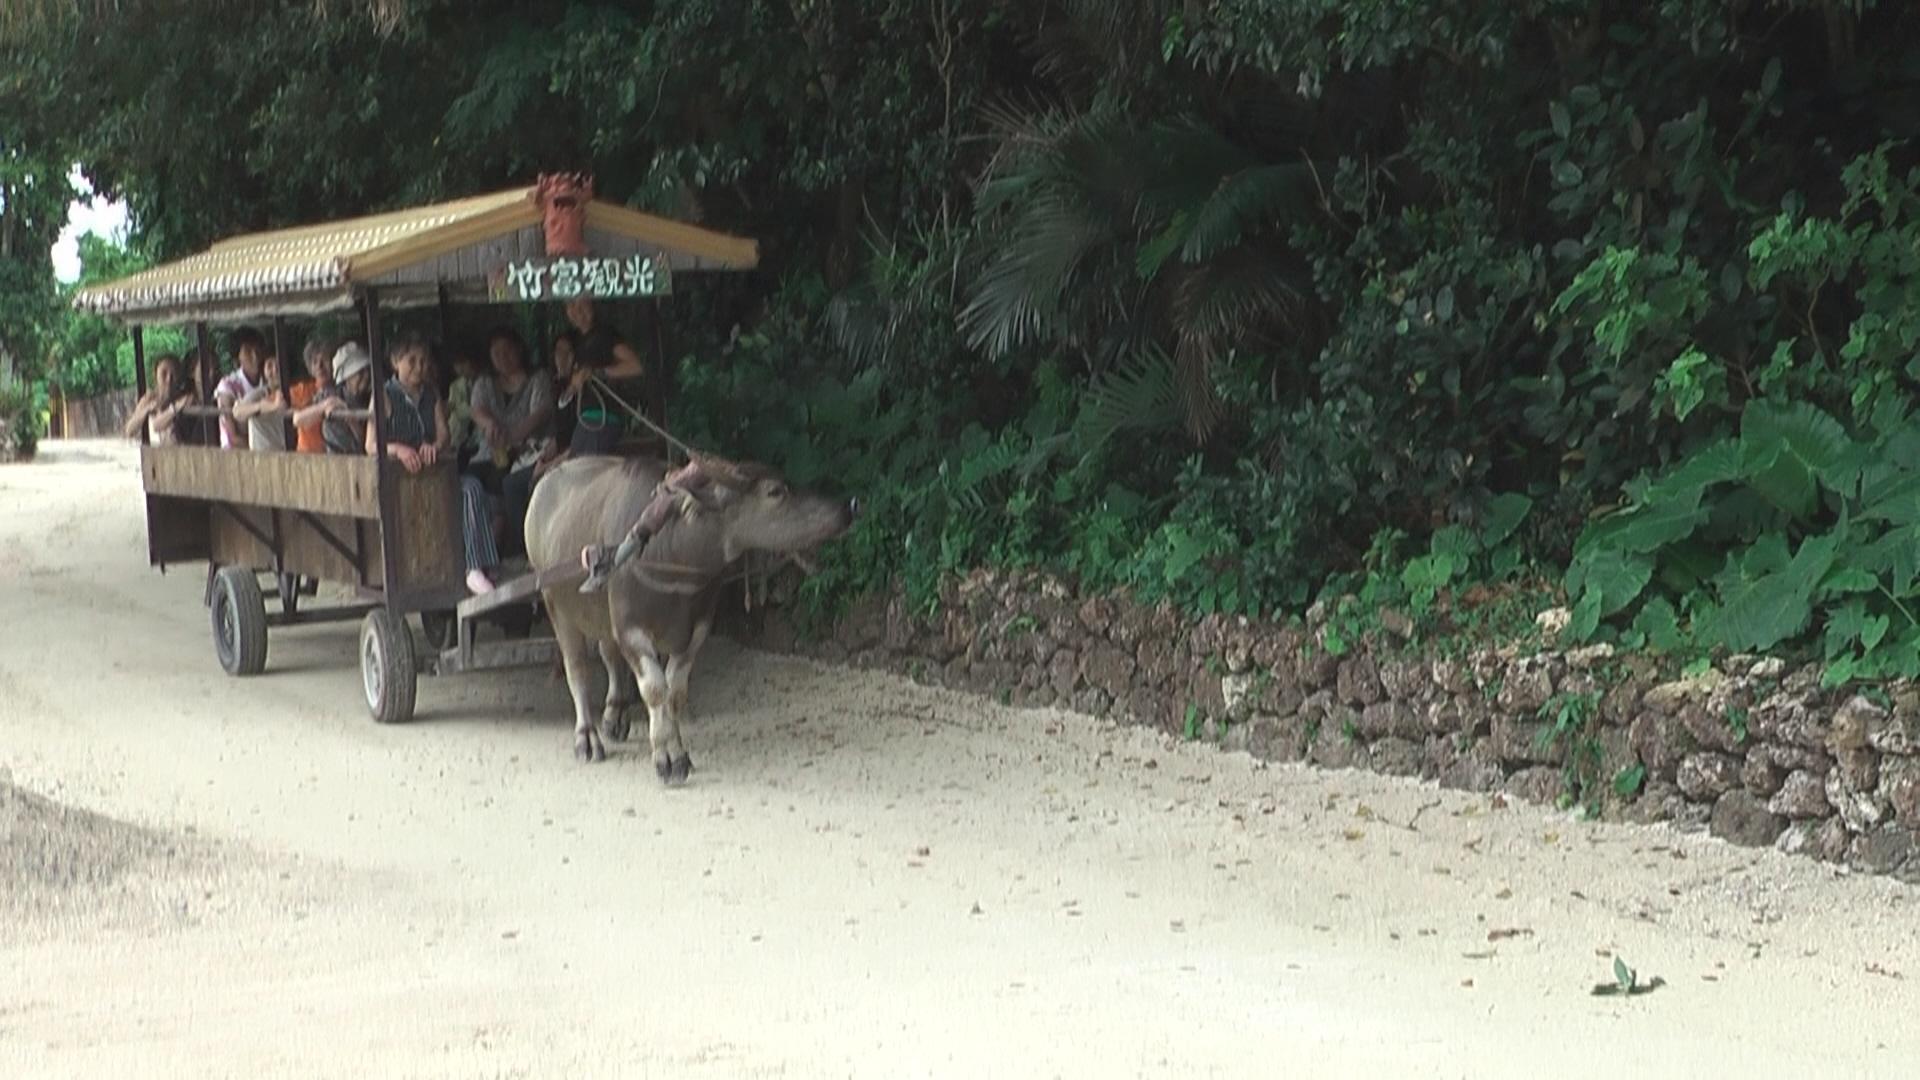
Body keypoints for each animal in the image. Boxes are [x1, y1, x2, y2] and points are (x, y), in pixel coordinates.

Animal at [524, 454, 857, 782]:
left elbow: (675, 692)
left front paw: (678, 753)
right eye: (775, 491)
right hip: (556, 606)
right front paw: (665, 759)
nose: (849, 507)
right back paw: (587, 738)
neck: (672, 551)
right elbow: (655, 689)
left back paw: (615, 716)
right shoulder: (631, 629)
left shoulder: (697, 629)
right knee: (576, 668)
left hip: (600, 613)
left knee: (608, 654)